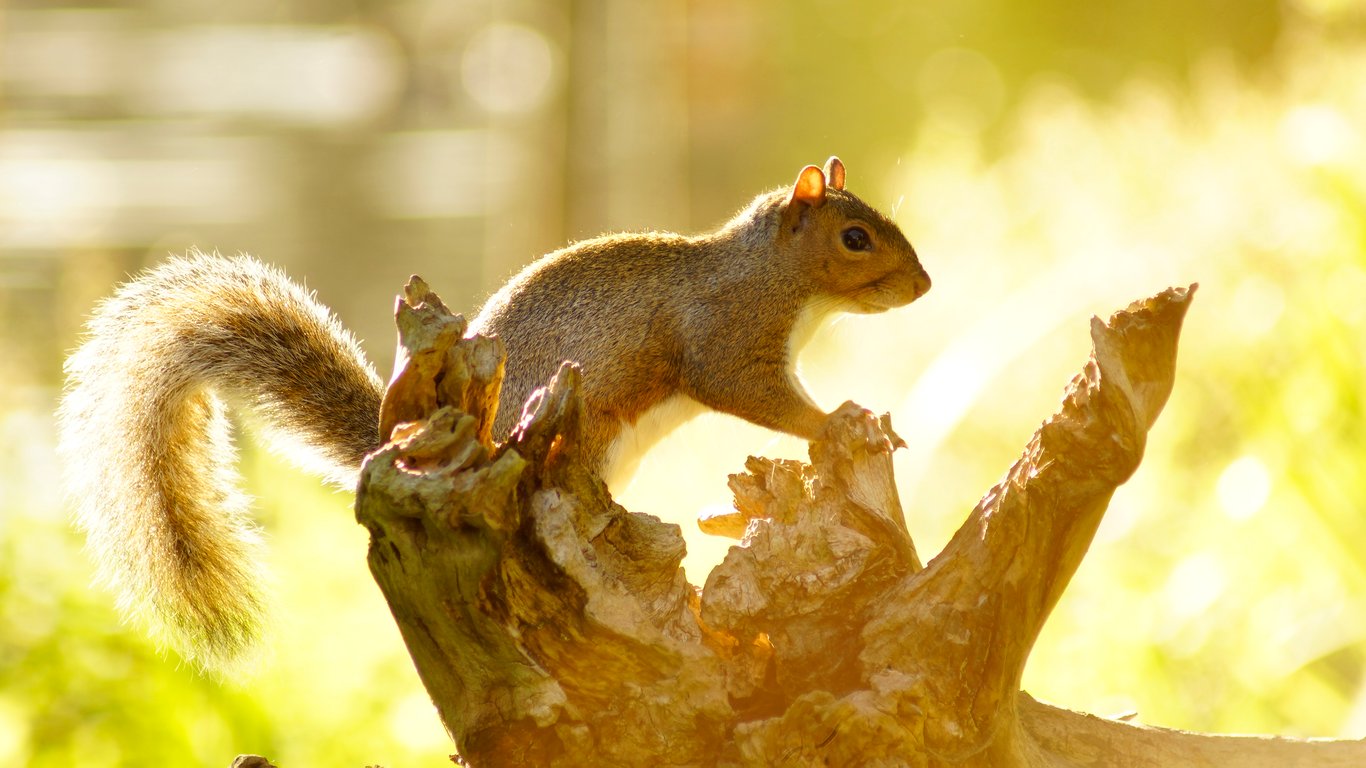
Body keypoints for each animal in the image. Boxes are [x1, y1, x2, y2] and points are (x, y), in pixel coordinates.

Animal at [57, 157, 930, 670]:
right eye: (855, 236)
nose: (923, 286)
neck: (779, 279)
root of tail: (402, 439)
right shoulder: (728, 340)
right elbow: (755, 396)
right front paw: (837, 421)